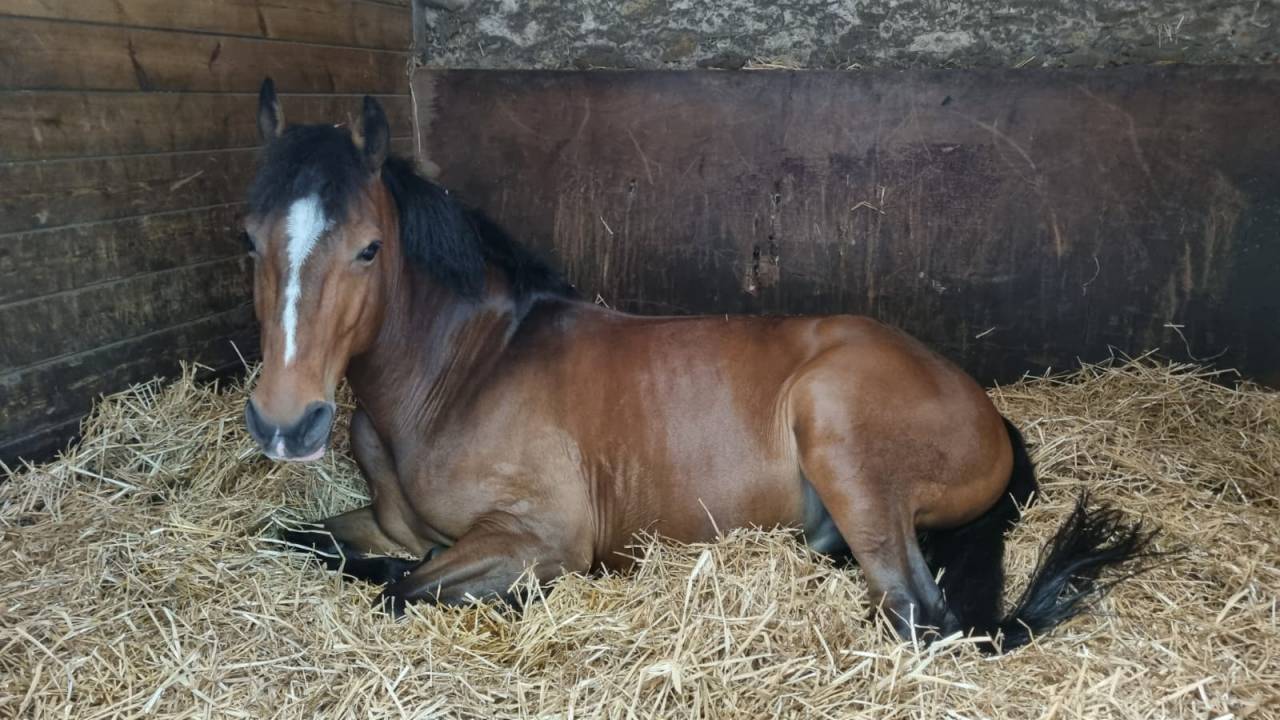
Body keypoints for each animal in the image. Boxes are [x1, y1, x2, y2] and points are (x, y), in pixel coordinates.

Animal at [241, 78, 1152, 652]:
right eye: (248, 238)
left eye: (368, 248)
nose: (287, 424)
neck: (462, 375)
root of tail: (986, 409)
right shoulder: (388, 523)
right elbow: (302, 542)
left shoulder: (540, 534)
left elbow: (401, 584)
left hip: (841, 436)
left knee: (923, 616)